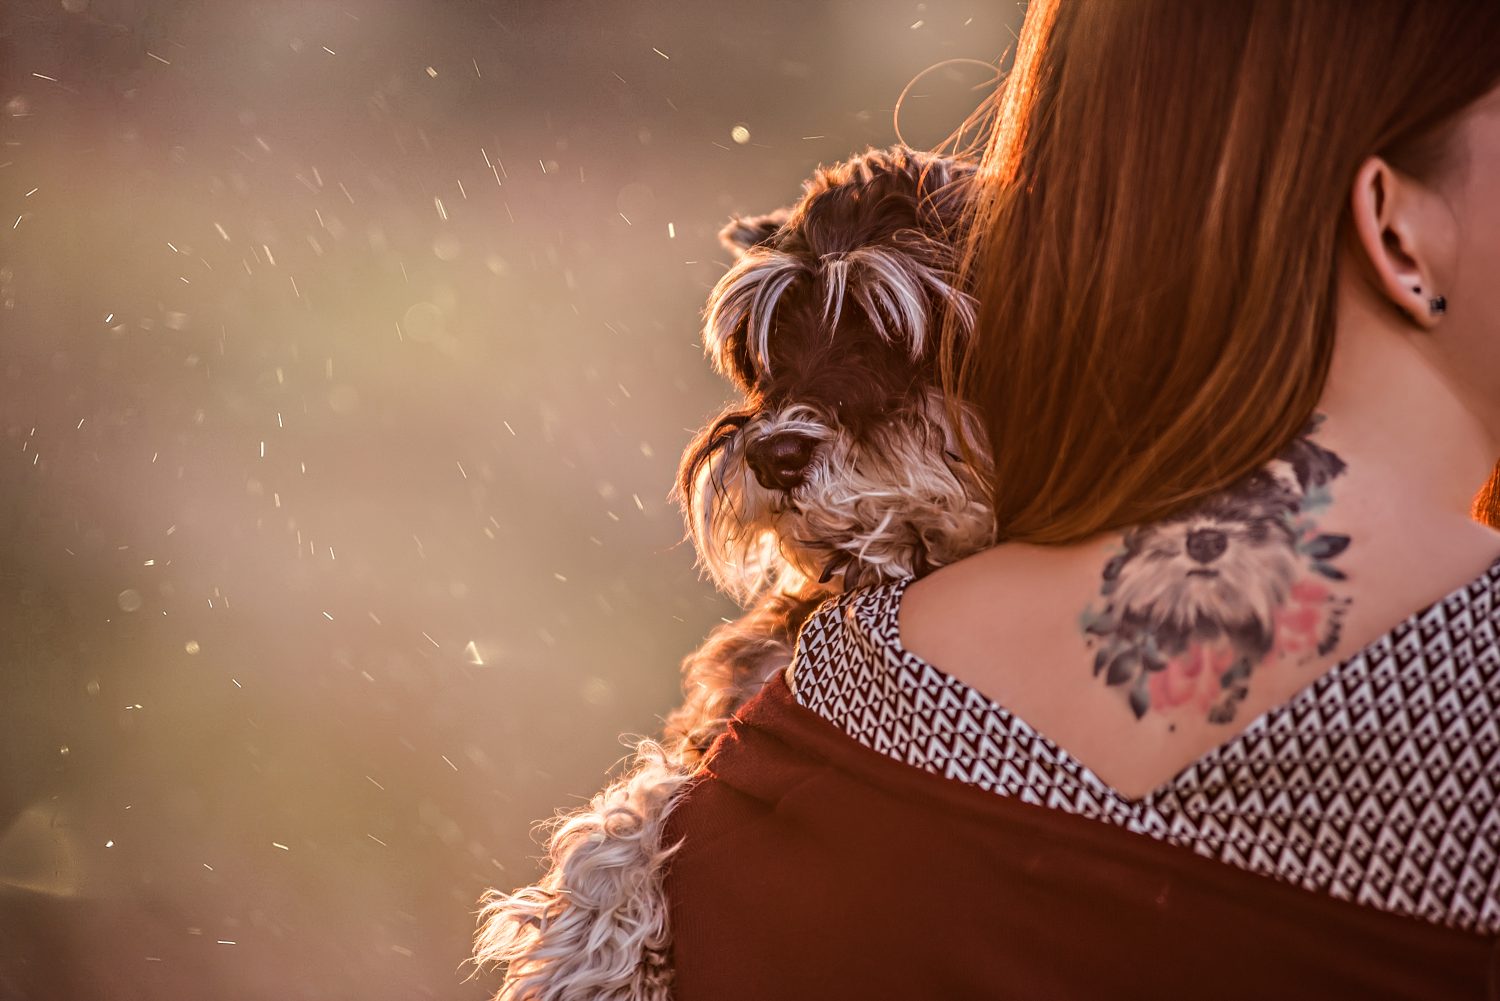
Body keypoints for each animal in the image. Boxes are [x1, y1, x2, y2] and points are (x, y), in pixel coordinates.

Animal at [468, 142, 984, 1001]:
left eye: (892, 327)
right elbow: (644, 795)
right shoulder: (732, 700)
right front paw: (589, 951)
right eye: (765, 345)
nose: (775, 454)